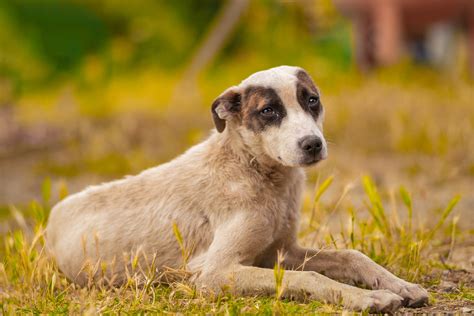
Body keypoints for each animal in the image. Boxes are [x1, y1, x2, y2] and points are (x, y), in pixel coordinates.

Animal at [45, 65, 430, 312]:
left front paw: (399, 285)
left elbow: (353, 255)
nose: (312, 144)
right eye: (268, 111)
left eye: (312, 100)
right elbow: (308, 278)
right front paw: (365, 298)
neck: (256, 172)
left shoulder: (281, 251)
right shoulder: (214, 273)